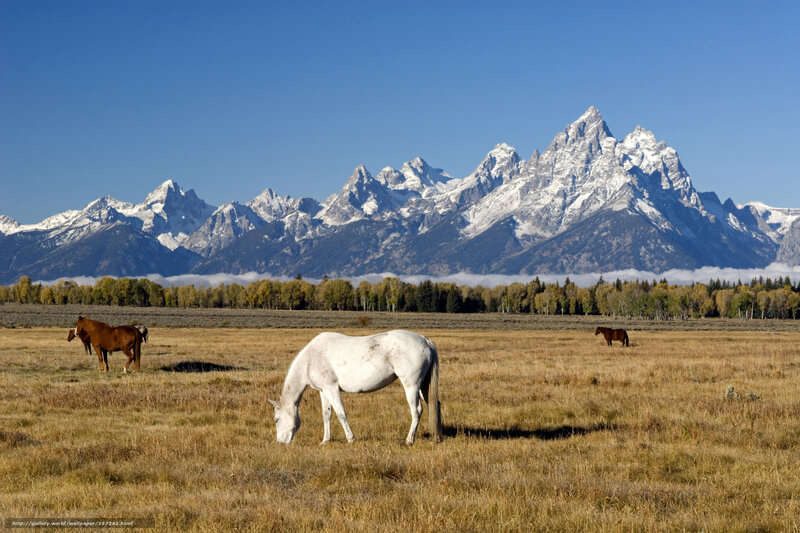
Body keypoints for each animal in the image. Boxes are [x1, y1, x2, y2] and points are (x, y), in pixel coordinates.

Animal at [270, 330, 443, 446]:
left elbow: (341, 414)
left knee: (417, 410)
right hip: (423, 386)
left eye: (276, 419)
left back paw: (409, 440)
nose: (280, 443)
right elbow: (327, 415)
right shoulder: (323, 391)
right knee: (435, 405)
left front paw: (350, 439)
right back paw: (437, 436)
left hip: (411, 385)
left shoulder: (331, 389)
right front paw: (326, 440)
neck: (310, 359)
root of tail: (425, 340)